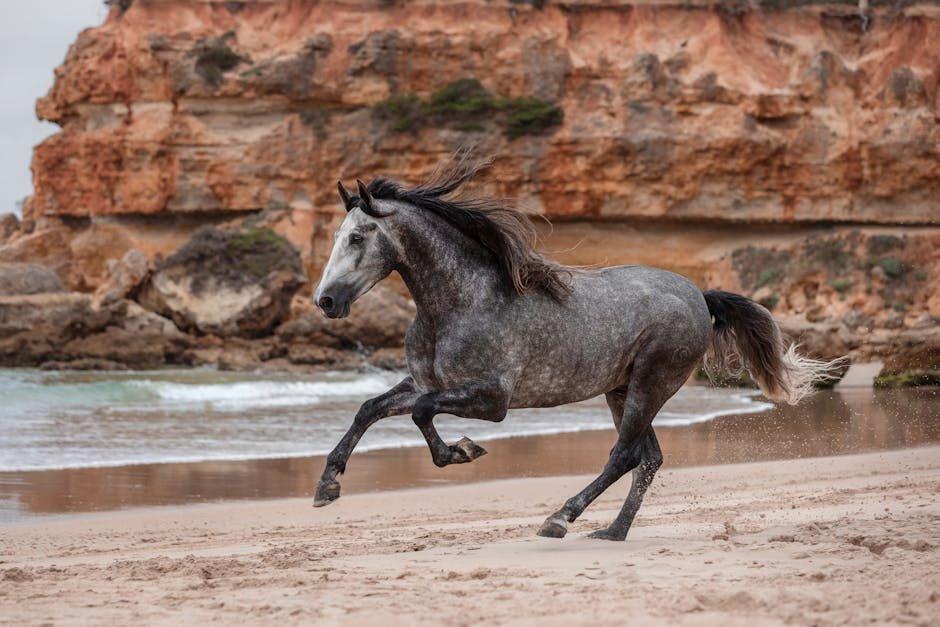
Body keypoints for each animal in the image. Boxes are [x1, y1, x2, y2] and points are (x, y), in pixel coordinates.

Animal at [311, 156, 840, 541]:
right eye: (338, 235)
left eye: (356, 236)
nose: (326, 301)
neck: (460, 301)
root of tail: (699, 295)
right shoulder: (427, 381)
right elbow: (370, 408)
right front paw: (327, 485)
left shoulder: (491, 399)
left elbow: (422, 413)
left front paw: (462, 451)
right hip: (622, 390)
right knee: (647, 459)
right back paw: (612, 532)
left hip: (650, 384)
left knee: (624, 455)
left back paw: (560, 518)